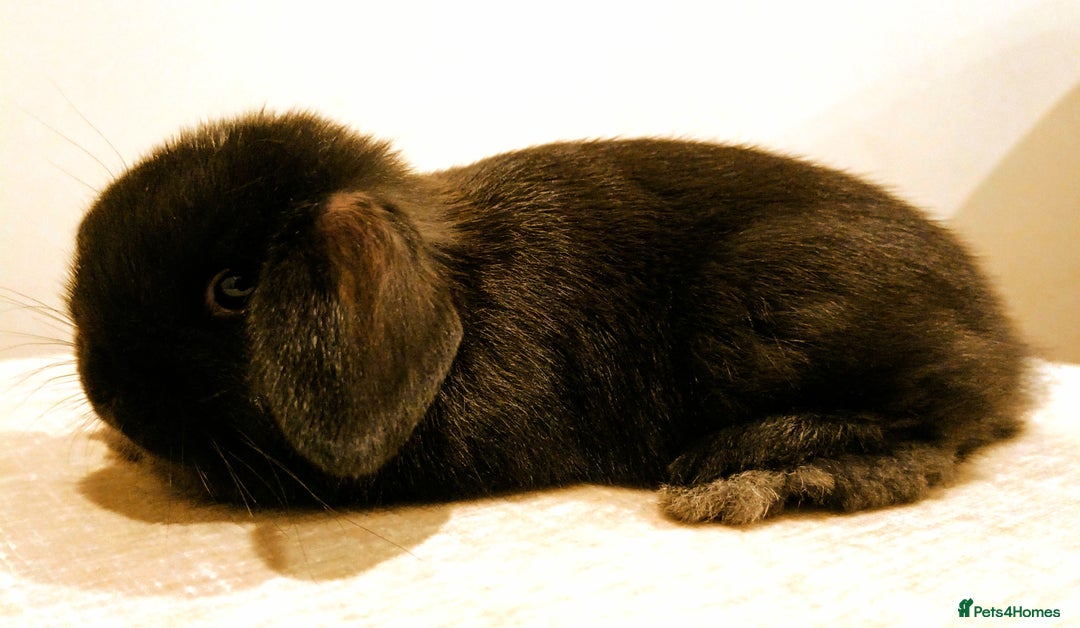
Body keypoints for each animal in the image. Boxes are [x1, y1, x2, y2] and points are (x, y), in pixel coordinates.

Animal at [68, 110, 1030, 524]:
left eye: (234, 290)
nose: (107, 397)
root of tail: (1003, 344)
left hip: (760, 313)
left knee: (929, 434)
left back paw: (750, 474)